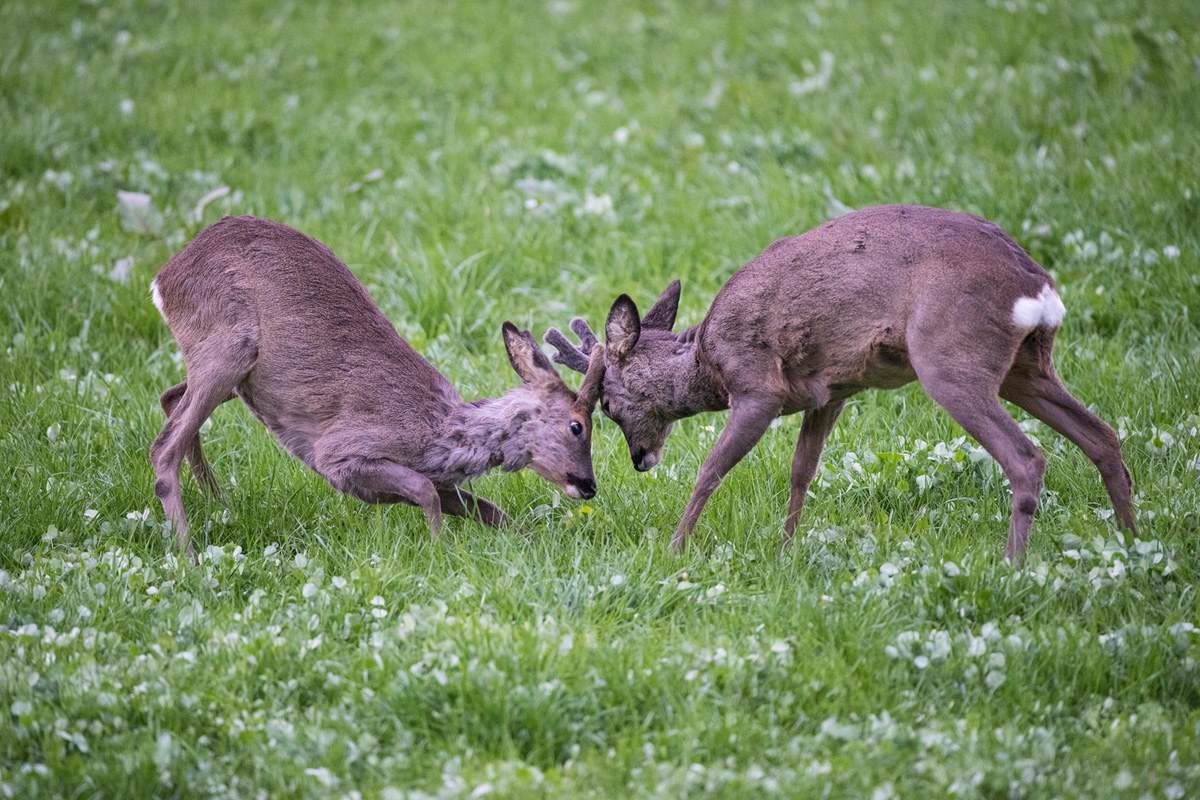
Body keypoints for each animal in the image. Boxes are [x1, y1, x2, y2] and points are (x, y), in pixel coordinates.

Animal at [150, 215, 604, 561]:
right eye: (578, 426)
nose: (588, 485)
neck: (438, 432)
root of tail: (163, 277)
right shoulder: (339, 454)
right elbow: (425, 491)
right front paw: (439, 553)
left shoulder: (437, 479)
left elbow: (488, 509)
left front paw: (536, 546)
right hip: (229, 347)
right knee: (163, 446)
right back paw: (190, 556)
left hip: (239, 376)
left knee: (170, 398)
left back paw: (219, 503)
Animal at [549, 205, 1137, 563]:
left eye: (607, 403)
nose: (641, 459)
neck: (706, 362)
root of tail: (1038, 289)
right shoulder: (829, 392)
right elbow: (801, 471)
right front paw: (786, 549)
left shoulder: (757, 385)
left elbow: (711, 470)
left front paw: (675, 548)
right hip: (1026, 367)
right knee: (1103, 436)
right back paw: (1132, 542)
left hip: (950, 359)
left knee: (1028, 456)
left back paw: (1012, 565)